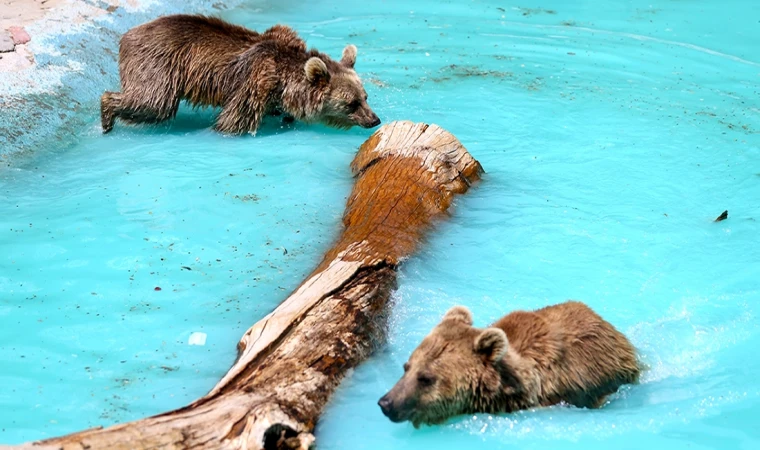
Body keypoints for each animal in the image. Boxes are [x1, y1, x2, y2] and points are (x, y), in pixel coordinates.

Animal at [101, 14, 380, 135]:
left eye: (365, 97)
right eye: (351, 103)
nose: (374, 120)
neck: (285, 80)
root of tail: (126, 35)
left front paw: (285, 115)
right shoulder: (255, 82)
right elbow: (234, 120)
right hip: (158, 65)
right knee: (153, 103)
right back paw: (107, 117)